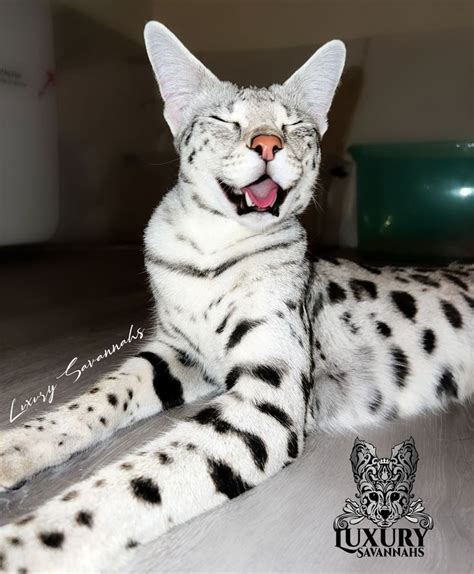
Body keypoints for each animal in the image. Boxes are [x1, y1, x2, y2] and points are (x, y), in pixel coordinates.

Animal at [0, 20, 474, 572]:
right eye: (224, 120)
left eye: (293, 125)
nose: (268, 144)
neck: (212, 250)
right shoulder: (176, 352)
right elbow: (98, 396)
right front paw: (16, 447)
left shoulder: (268, 396)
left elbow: (133, 482)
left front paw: (27, 543)